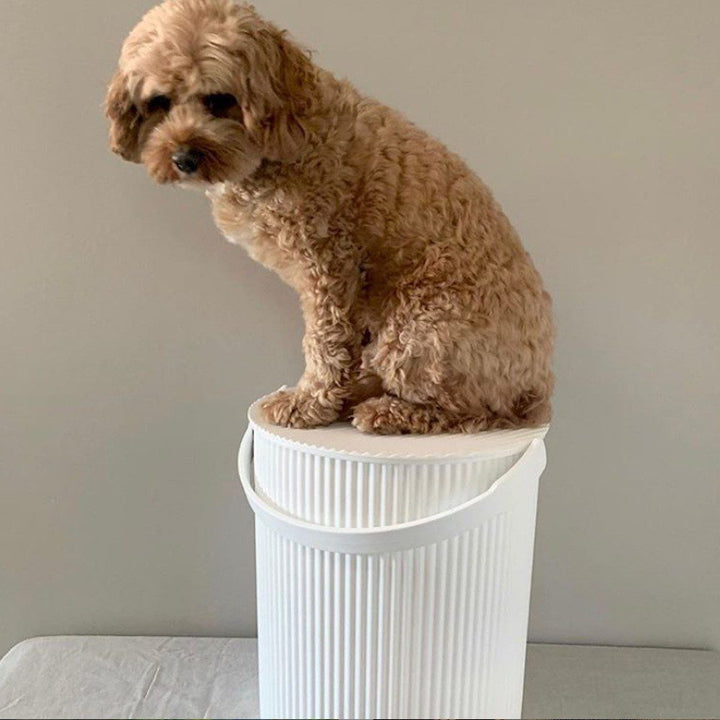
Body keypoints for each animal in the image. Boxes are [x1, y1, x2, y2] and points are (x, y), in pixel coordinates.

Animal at [108, 0, 556, 434]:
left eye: (220, 100)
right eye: (159, 103)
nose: (183, 158)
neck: (285, 139)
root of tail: (538, 390)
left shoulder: (328, 266)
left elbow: (325, 345)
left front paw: (308, 405)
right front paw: (327, 398)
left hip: (418, 329)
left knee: (476, 411)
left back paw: (390, 412)